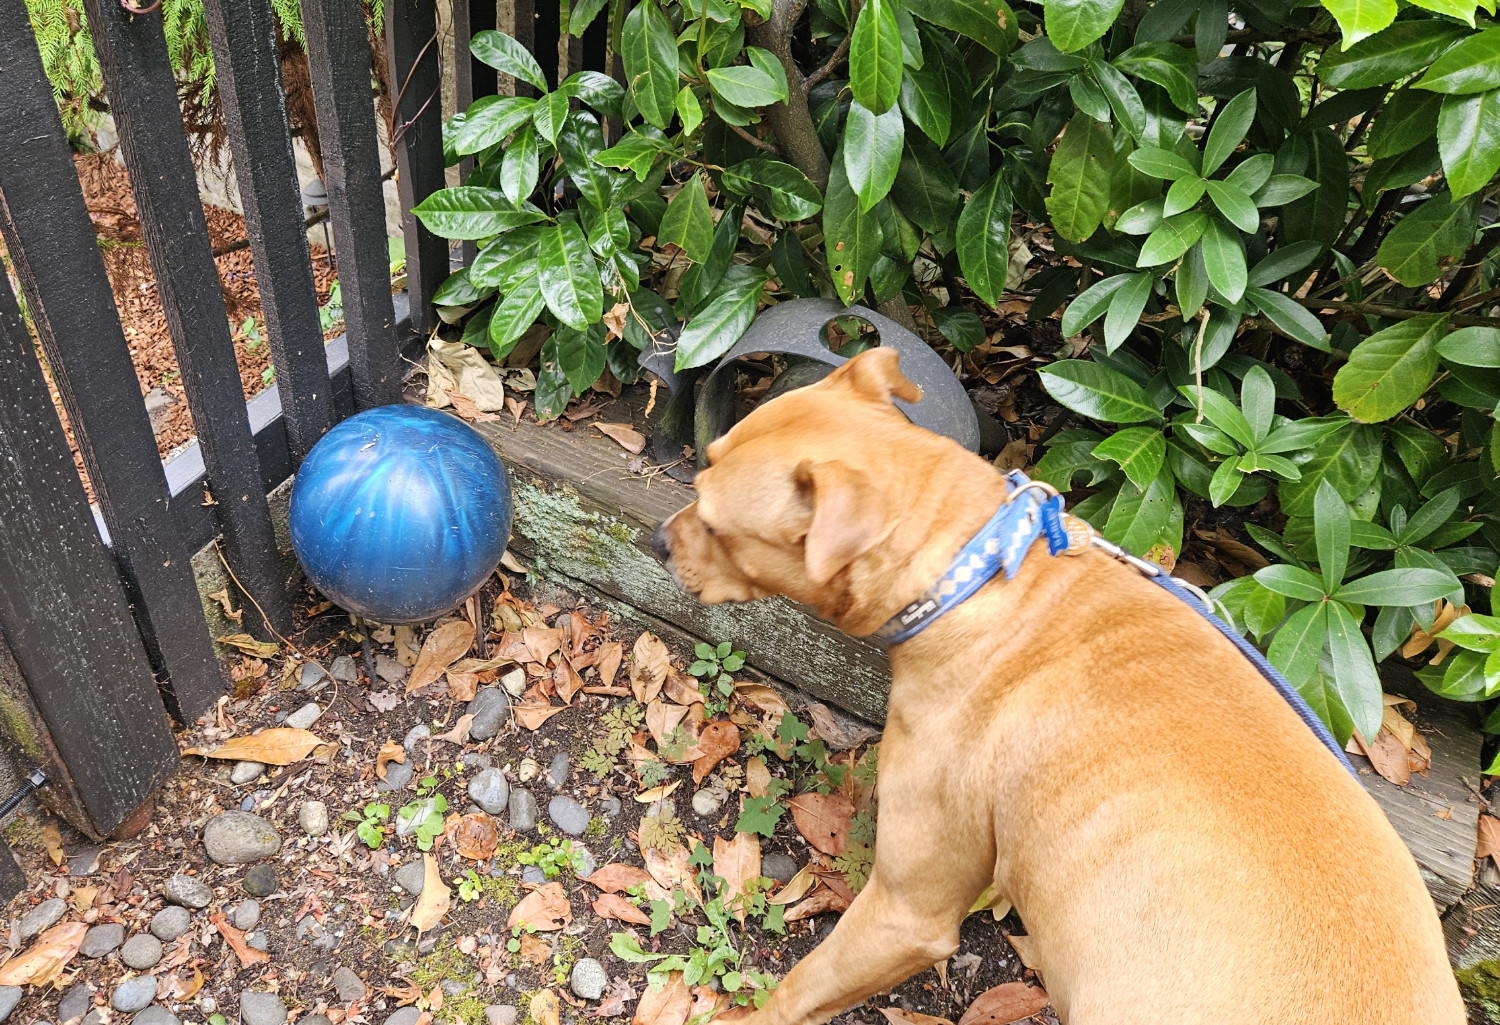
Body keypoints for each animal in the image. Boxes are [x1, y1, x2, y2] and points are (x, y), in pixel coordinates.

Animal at [657, 351, 1464, 1025]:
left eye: (718, 523)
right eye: (706, 459)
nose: (660, 539)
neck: (979, 569)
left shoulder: (904, 912)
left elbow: (793, 993)